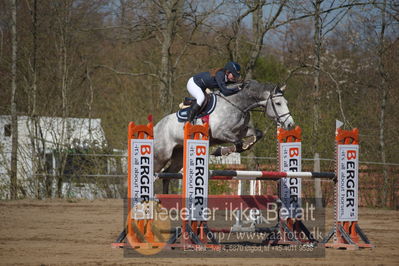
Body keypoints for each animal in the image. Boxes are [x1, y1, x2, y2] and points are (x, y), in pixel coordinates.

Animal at [155, 79, 296, 193]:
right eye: (278, 103)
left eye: (286, 102)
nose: (290, 124)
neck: (238, 104)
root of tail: (156, 126)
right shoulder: (220, 132)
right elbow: (238, 143)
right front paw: (221, 151)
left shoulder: (241, 131)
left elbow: (257, 134)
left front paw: (245, 145)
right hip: (162, 156)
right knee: (155, 173)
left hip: (178, 156)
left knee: (167, 175)